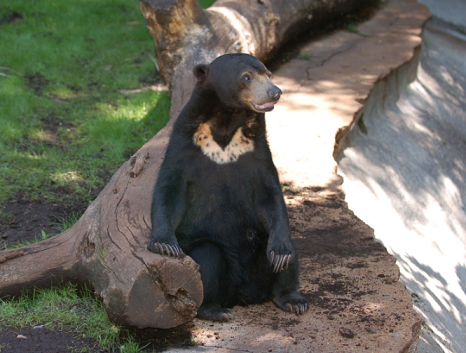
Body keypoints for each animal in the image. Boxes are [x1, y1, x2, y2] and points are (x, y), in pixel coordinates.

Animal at [148, 53, 310, 320]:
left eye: (268, 73)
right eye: (246, 77)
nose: (275, 92)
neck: (226, 122)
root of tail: (243, 295)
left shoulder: (257, 150)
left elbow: (270, 195)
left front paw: (281, 254)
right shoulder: (184, 145)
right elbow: (169, 190)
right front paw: (164, 244)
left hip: (261, 249)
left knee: (288, 254)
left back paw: (292, 298)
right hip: (212, 259)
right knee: (208, 258)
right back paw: (214, 309)